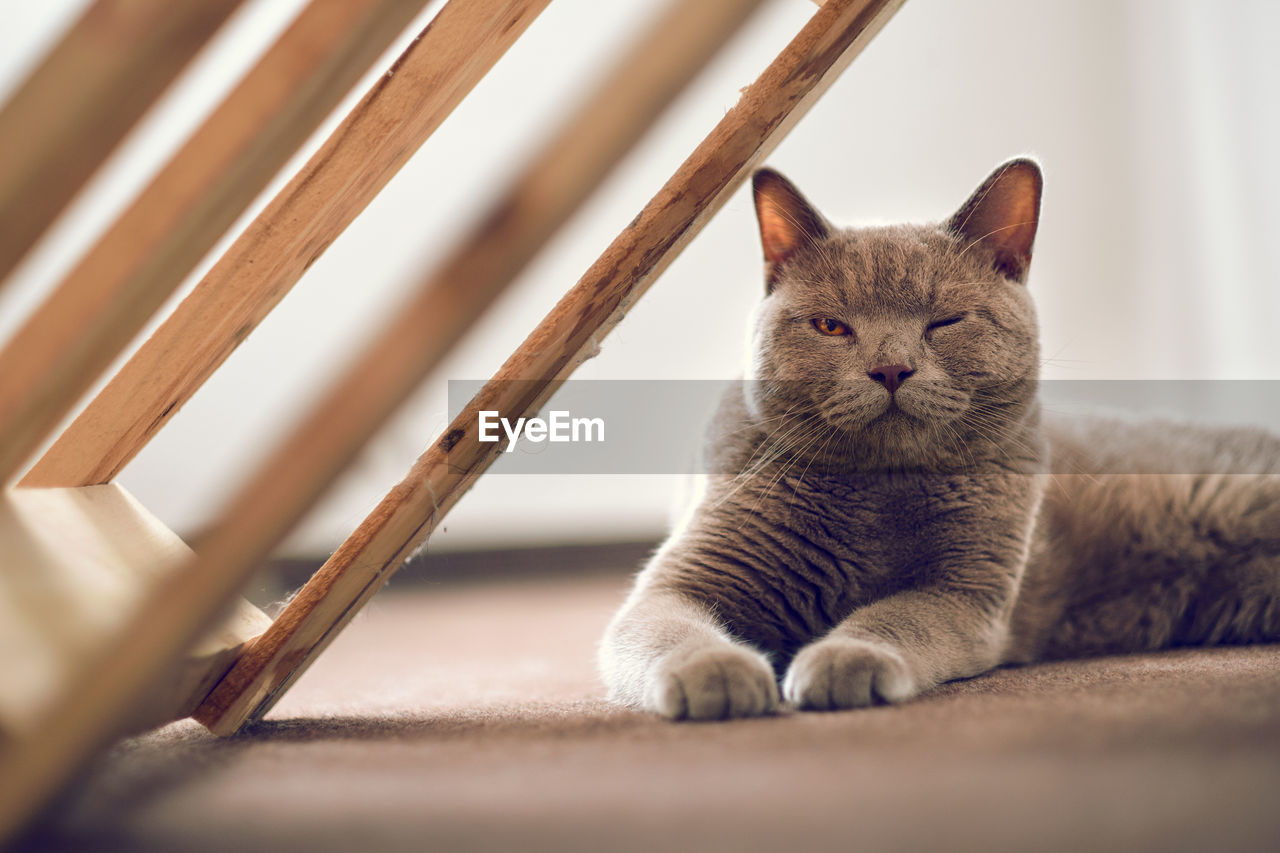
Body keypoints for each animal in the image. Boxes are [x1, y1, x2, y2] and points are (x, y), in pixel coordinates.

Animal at [599, 157, 1280, 717]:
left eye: (945, 322)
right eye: (832, 326)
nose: (891, 368)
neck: (873, 499)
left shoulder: (962, 593)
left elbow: (893, 619)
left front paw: (842, 660)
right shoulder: (683, 580)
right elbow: (672, 629)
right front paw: (718, 673)